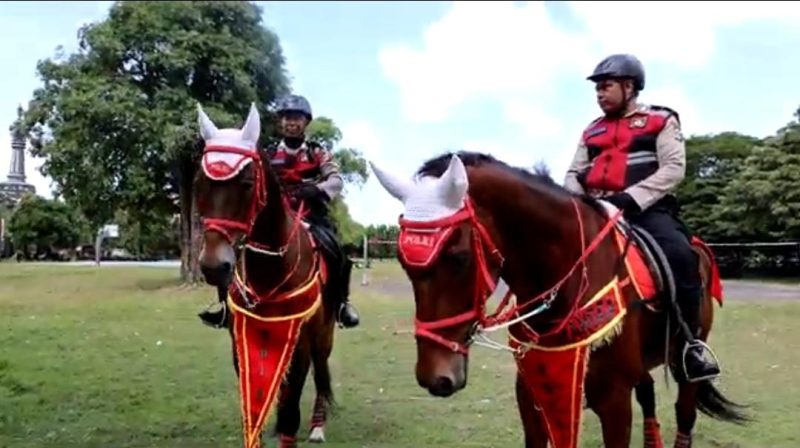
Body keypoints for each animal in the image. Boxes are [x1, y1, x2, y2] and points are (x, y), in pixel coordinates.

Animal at [196, 102, 340, 448]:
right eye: (200, 182)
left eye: (247, 183)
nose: (214, 266)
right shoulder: (241, 340)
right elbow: (254, 406)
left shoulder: (301, 344)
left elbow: (290, 408)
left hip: (324, 335)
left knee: (321, 373)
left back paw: (318, 425)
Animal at [370, 150, 752, 448]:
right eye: (403, 261)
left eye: (459, 257)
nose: (435, 377)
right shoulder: (532, 391)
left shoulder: (614, 400)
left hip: (686, 357)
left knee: (685, 412)